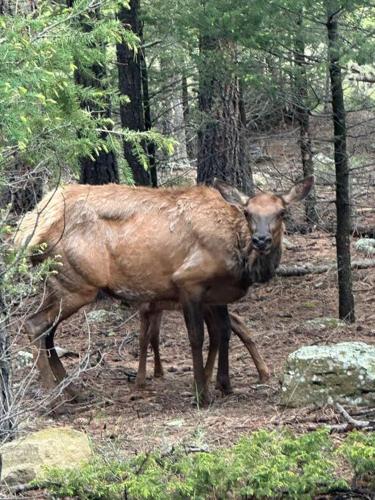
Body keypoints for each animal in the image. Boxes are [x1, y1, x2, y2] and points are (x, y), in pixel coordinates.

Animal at [14, 176, 314, 402]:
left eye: (282, 212)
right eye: (248, 212)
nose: (261, 239)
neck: (240, 258)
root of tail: (29, 229)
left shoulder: (215, 295)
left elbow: (224, 333)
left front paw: (224, 384)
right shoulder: (189, 282)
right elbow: (197, 337)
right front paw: (201, 393)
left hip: (59, 286)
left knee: (47, 332)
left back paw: (72, 391)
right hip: (77, 286)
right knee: (34, 325)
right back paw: (54, 398)